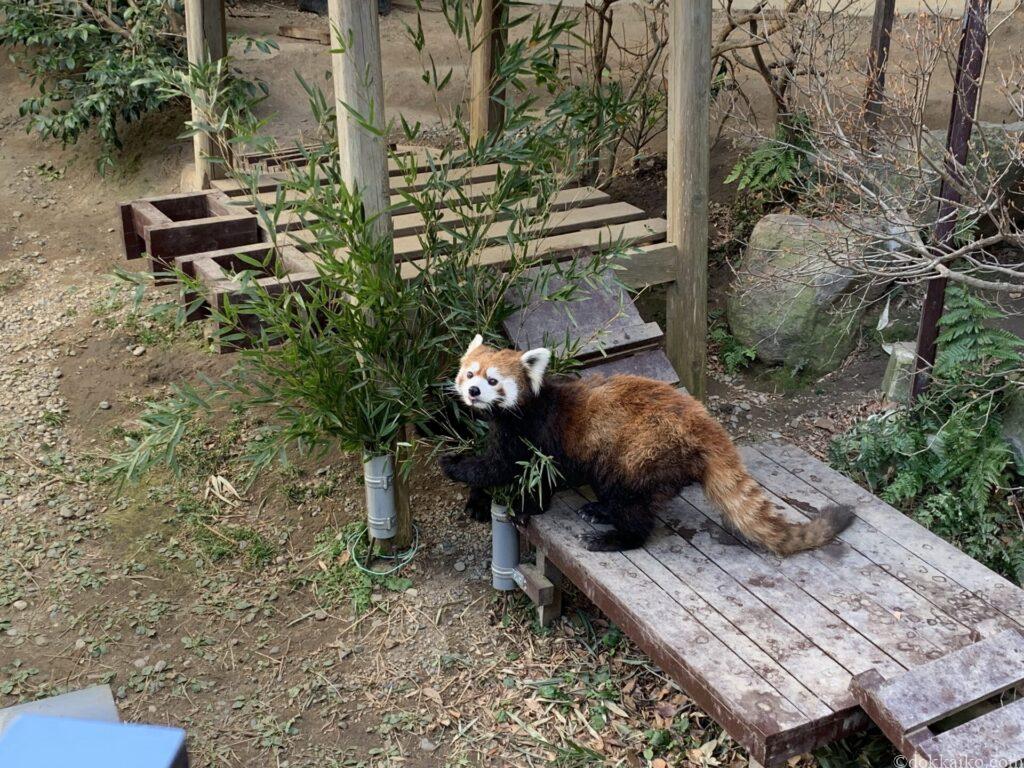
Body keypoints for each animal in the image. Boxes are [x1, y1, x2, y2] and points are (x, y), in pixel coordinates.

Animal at [440, 333, 856, 557]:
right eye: (470, 374)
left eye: (493, 381)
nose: (473, 392)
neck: (521, 409)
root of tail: (707, 425)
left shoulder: (536, 435)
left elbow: (505, 469)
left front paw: (456, 467)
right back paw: (600, 511)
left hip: (642, 451)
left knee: (632, 505)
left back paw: (615, 536)